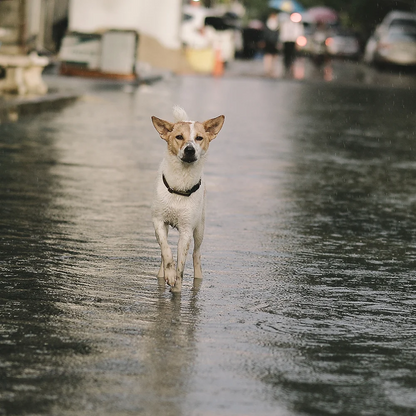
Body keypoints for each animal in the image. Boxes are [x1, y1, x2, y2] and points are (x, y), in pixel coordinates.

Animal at [152, 105, 224, 290]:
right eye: (179, 137)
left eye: (199, 138)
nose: (189, 150)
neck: (180, 184)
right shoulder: (158, 222)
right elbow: (166, 251)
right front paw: (169, 274)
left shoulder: (186, 231)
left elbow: (181, 265)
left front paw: (176, 285)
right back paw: (162, 274)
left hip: (200, 229)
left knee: (196, 254)